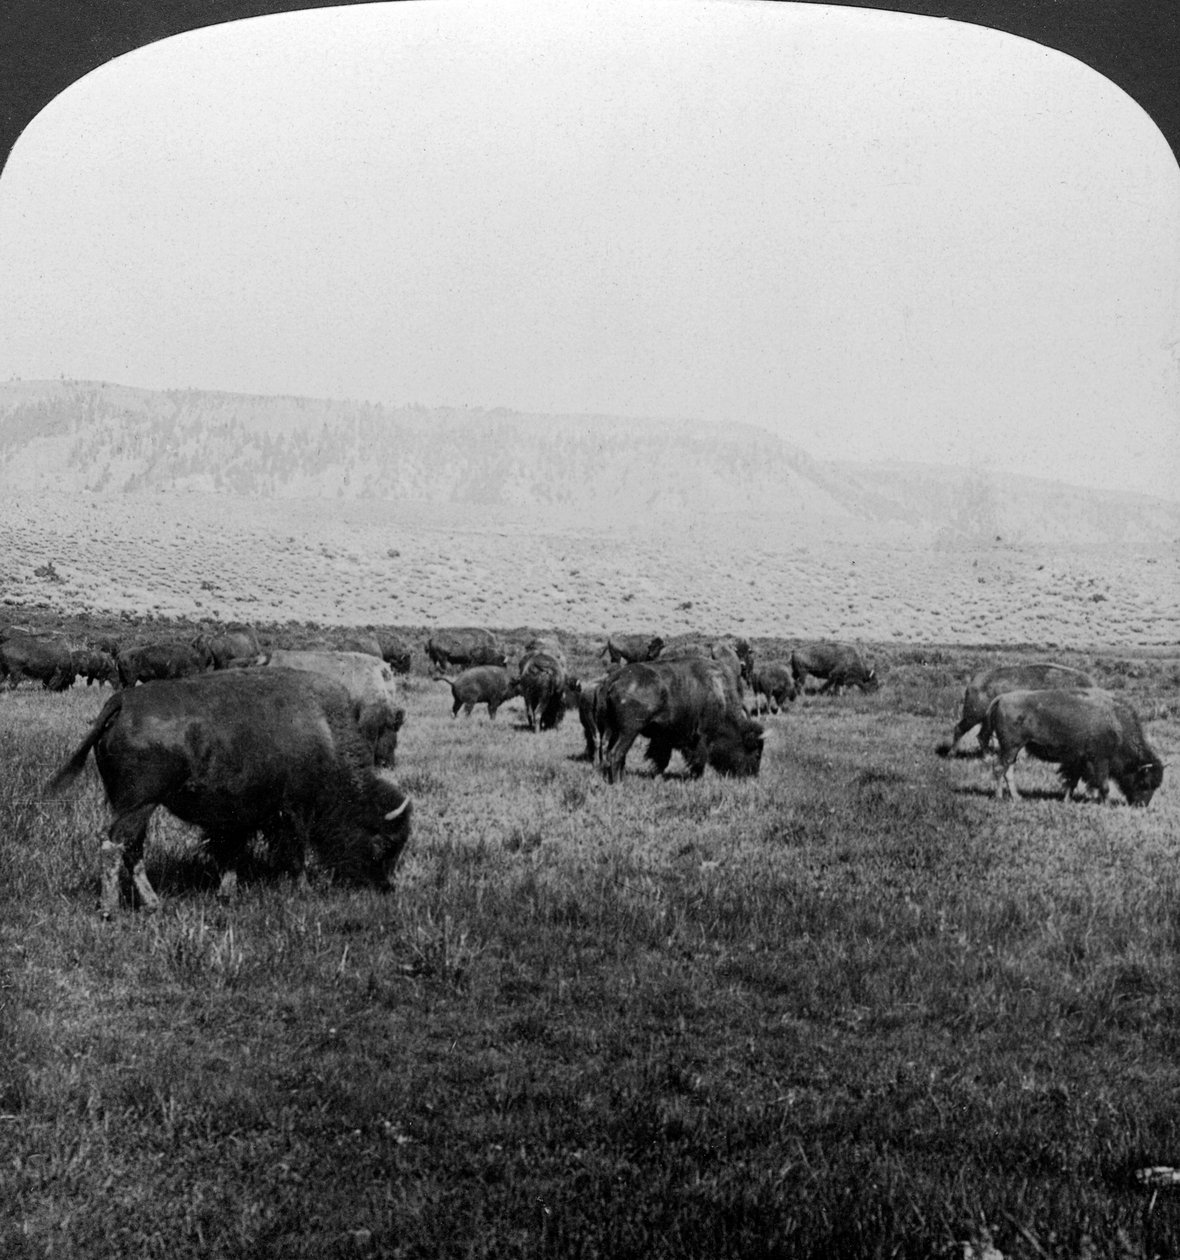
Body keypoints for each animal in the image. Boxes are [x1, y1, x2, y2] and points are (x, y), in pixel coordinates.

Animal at [45, 670, 415, 917]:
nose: (385, 887)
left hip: (135, 806)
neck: (324, 732)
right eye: (384, 842)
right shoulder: (293, 809)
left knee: (132, 849)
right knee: (114, 845)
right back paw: (110, 909)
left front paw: (227, 892)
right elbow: (295, 852)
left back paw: (154, 903)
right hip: (139, 804)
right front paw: (303, 889)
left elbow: (232, 852)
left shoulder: (241, 815)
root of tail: (121, 701)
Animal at [599, 655, 765, 781]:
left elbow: (662, 759)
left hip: (614, 730)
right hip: (628, 731)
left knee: (612, 752)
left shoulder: (663, 738)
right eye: (756, 752)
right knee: (616, 753)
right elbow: (699, 758)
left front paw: (658, 776)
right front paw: (697, 777)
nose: (752, 775)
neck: (719, 695)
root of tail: (615, 678)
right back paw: (618, 782)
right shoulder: (702, 735)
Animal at [936, 660, 1098, 756]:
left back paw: (987, 756)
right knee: (961, 729)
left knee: (982, 736)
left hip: (985, 720)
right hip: (974, 715)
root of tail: (974, 681)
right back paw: (952, 754)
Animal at [987, 690, 1158, 806]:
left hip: (1013, 749)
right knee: (999, 768)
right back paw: (999, 797)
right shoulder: (1099, 761)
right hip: (1011, 746)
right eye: (1144, 783)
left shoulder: (1078, 762)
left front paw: (1067, 799)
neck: (1116, 723)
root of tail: (1001, 698)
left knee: (1008, 770)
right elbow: (1104, 785)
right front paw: (1106, 803)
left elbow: (1072, 781)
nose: (1142, 805)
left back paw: (1017, 797)